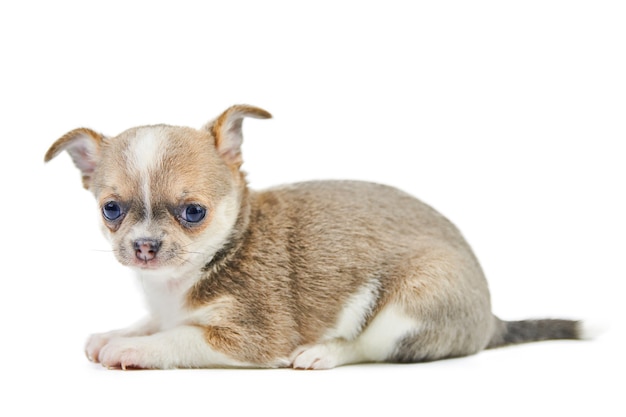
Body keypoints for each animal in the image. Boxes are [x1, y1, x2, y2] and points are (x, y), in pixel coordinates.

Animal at [45, 105, 584, 368]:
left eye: (193, 212)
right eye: (111, 209)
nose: (144, 246)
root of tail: (491, 321)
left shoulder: (253, 337)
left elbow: (179, 337)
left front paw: (131, 349)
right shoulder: (166, 305)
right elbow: (155, 321)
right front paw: (118, 332)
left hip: (410, 306)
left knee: (370, 348)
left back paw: (323, 352)